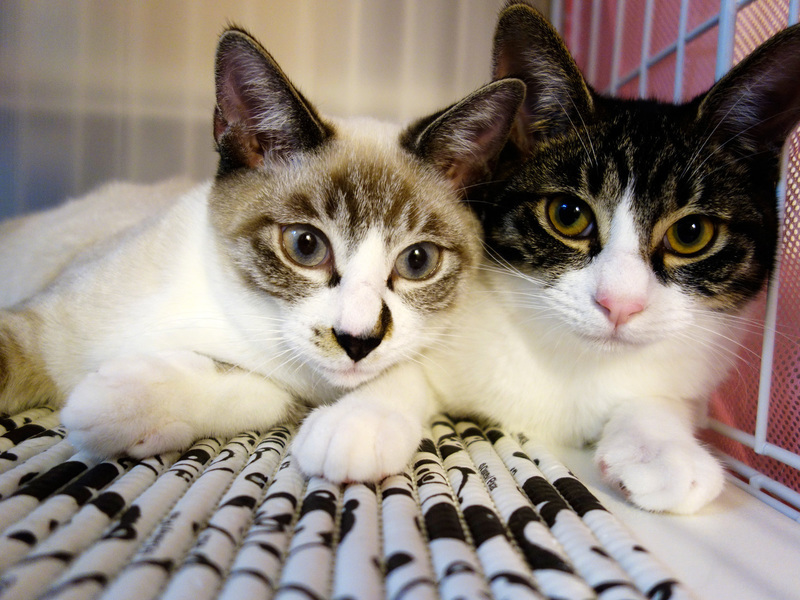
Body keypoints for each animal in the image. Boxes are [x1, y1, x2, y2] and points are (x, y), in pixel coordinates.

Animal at [0, 25, 525, 483]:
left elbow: (255, 388)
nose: (358, 342)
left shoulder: (301, 384)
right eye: (306, 245)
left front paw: (115, 403)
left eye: (417, 262)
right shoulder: (36, 327)